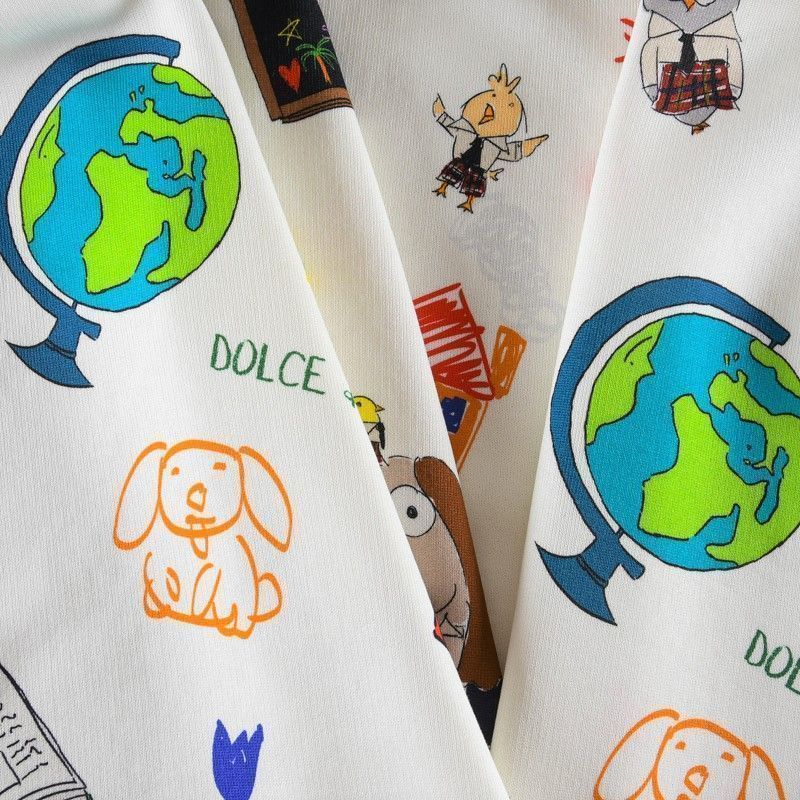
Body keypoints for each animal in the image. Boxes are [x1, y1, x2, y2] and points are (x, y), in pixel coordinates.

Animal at [114, 439, 292, 639]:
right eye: (175, 471)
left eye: (220, 467)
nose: (195, 493)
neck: (199, 537)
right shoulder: (159, 566)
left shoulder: (214, 572)